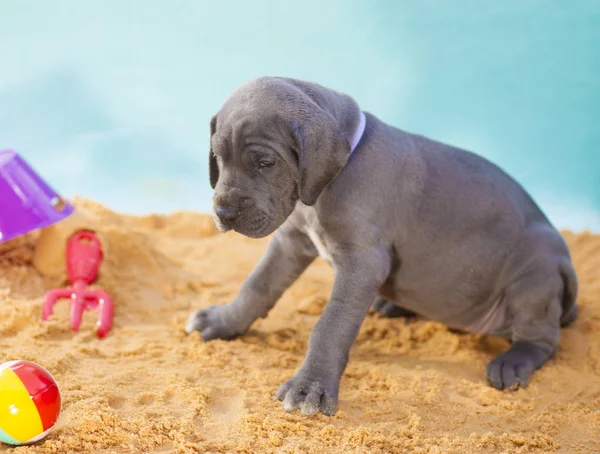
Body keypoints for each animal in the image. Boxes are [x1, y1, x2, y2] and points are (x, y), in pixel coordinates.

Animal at [186, 76, 576, 416]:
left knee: (543, 338)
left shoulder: (361, 262)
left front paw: (310, 386)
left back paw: (513, 360)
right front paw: (224, 321)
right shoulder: (292, 243)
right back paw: (393, 305)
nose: (224, 212)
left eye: (265, 163)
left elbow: (330, 325)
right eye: (217, 159)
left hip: (534, 272)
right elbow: (257, 285)